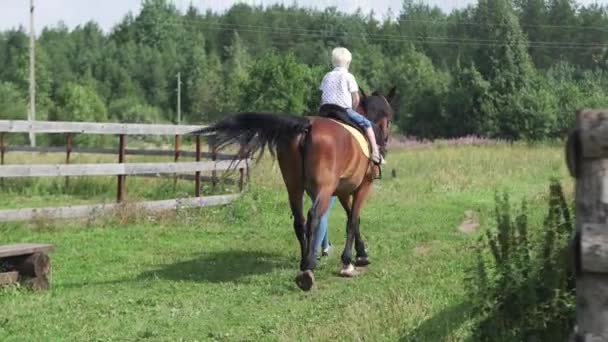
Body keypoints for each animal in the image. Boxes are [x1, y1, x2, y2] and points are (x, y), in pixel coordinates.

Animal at [192, 87, 396, 290]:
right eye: (389, 117)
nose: (385, 142)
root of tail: (307, 127)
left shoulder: (343, 191)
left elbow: (354, 219)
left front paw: (360, 254)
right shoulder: (363, 186)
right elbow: (353, 221)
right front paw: (349, 262)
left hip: (294, 187)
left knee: (299, 221)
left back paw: (304, 263)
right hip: (323, 189)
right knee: (313, 217)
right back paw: (309, 269)